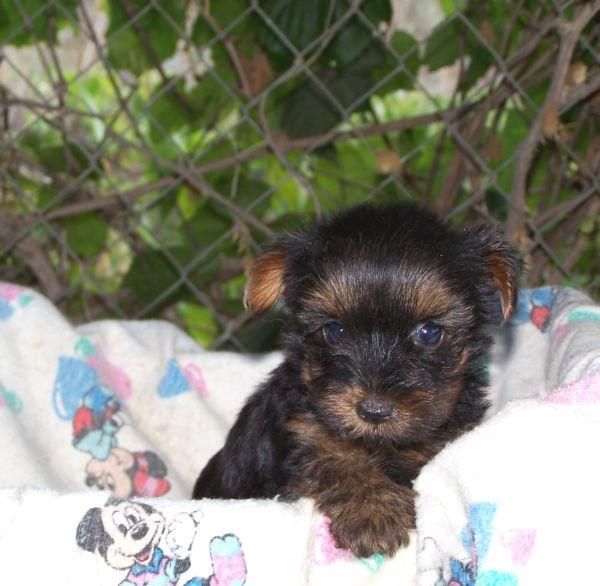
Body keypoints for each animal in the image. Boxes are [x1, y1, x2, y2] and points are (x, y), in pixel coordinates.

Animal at [193, 203, 520, 556]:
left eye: (430, 333)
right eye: (333, 330)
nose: (374, 412)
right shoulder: (303, 433)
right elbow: (337, 462)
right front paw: (374, 513)